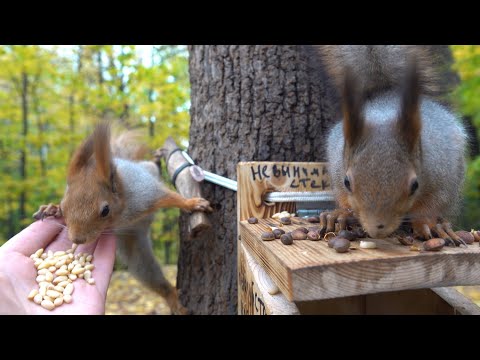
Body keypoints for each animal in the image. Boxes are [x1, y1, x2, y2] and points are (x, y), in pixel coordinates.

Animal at [33, 122, 212, 314]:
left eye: (105, 210)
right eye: (64, 206)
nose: (77, 239)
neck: (120, 216)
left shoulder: (146, 194)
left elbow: (172, 197)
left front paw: (192, 203)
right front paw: (52, 209)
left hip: (146, 173)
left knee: (152, 167)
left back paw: (157, 160)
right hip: (137, 257)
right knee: (154, 279)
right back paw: (172, 299)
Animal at [316, 43, 466, 243]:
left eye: (415, 185)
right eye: (347, 182)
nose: (377, 230)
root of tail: (386, 94)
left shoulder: (442, 176)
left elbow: (433, 203)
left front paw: (427, 223)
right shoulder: (337, 166)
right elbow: (342, 195)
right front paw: (341, 213)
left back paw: (442, 225)